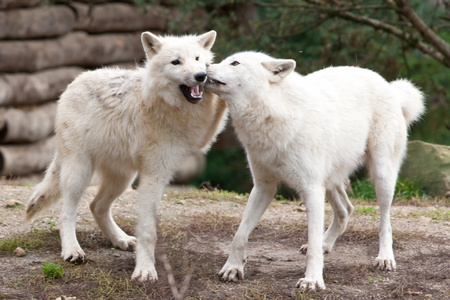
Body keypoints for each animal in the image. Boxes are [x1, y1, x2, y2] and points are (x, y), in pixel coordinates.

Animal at [25, 30, 229, 282]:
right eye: (176, 62)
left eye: (198, 59)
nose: (201, 76)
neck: (169, 106)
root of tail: (74, 82)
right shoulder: (153, 176)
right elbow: (148, 231)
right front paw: (145, 270)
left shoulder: (201, 138)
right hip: (80, 173)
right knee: (67, 213)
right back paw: (72, 250)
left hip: (123, 179)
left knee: (96, 206)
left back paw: (120, 239)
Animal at [206, 52, 424, 290]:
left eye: (235, 63)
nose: (204, 66)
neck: (275, 112)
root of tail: (391, 89)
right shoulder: (263, 188)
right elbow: (240, 234)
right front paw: (233, 268)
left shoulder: (310, 190)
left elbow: (312, 243)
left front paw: (312, 280)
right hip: (329, 183)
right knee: (346, 210)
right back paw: (326, 244)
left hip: (381, 176)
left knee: (385, 222)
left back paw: (385, 257)